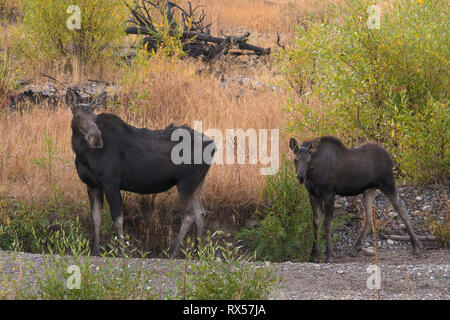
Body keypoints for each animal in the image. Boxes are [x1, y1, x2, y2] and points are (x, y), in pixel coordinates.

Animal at [66, 88, 215, 258]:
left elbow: (117, 217)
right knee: (201, 213)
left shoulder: (111, 182)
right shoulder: (92, 185)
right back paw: (198, 253)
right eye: (78, 116)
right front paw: (95, 251)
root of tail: (214, 146)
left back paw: (172, 253)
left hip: (186, 182)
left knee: (190, 215)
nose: (96, 139)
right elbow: (96, 217)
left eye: (95, 117)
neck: (83, 154)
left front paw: (122, 252)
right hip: (197, 183)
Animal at [290, 135, 420, 262]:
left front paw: (328, 255)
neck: (313, 174)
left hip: (388, 184)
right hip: (369, 190)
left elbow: (327, 222)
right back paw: (355, 248)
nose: (300, 177)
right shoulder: (313, 195)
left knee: (401, 208)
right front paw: (313, 255)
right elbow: (316, 222)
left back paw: (416, 246)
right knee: (369, 217)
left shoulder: (329, 193)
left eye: (308, 160)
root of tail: (390, 157)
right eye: (295, 160)